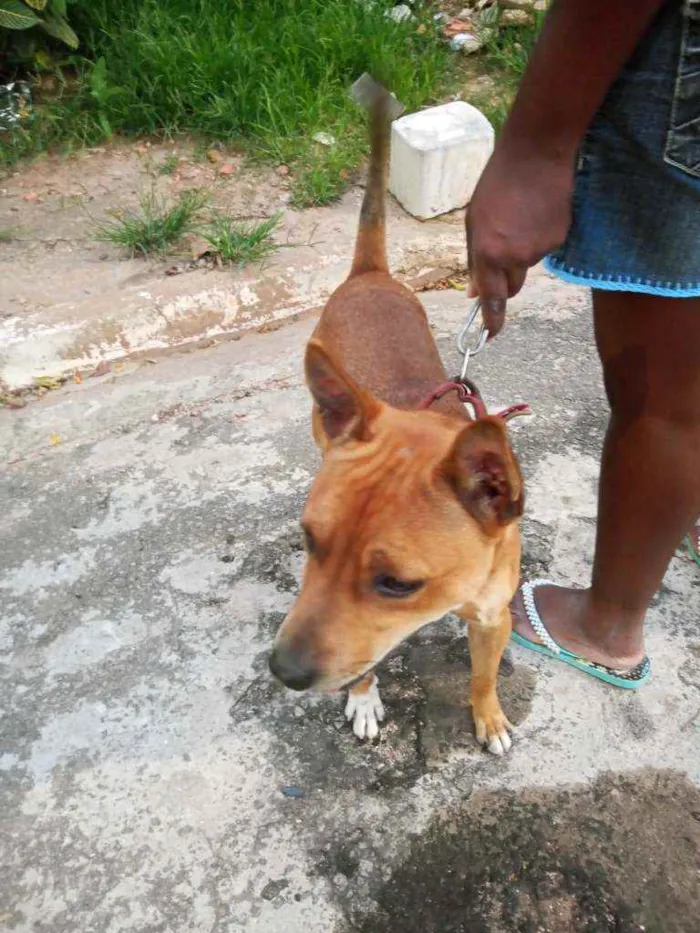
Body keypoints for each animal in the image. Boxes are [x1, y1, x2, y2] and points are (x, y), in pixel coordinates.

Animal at [270, 76, 524, 752]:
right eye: (309, 541)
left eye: (397, 584)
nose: (282, 671)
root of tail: (372, 273)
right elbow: (365, 659)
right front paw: (362, 696)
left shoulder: (494, 616)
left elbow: (483, 675)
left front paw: (488, 715)